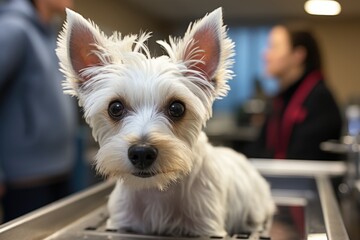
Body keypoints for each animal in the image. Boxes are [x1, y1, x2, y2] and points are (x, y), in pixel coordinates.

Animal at [57, 7, 274, 236]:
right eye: (115, 108)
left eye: (177, 108)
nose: (142, 152)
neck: (157, 191)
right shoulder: (120, 222)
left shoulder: (208, 227)